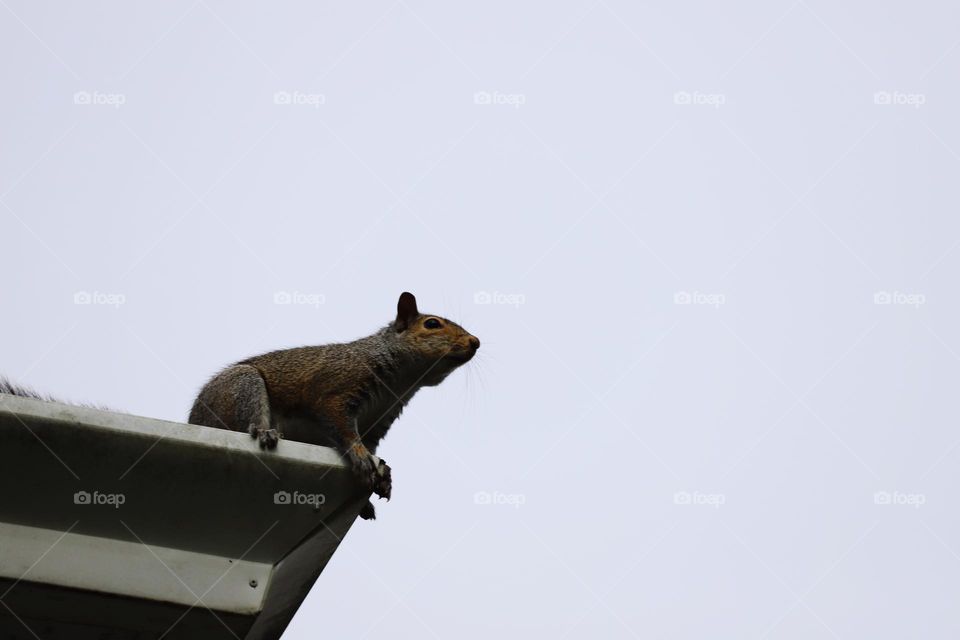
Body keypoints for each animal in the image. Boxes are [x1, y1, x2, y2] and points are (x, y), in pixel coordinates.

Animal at [189, 294, 480, 520]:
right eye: (432, 324)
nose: (475, 342)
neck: (402, 382)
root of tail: (195, 420)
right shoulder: (337, 390)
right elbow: (342, 427)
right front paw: (360, 456)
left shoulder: (379, 421)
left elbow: (372, 446)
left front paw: (381, 478)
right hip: (242, 387)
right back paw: (263, 432)